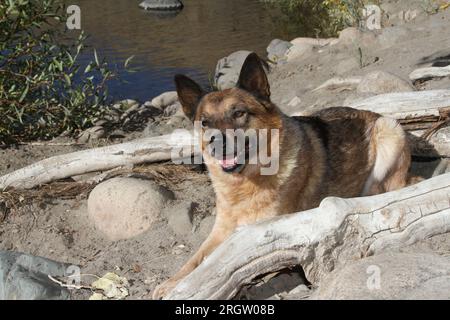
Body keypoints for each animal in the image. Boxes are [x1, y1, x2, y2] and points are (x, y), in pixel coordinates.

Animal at [154, 51, 412, 298]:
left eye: (239, 113)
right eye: (205, 122)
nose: (215, 143)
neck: (246, 182)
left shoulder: (260, 234)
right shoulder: (221, 230)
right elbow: (195, 260)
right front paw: (172, 283)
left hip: (389, 131)